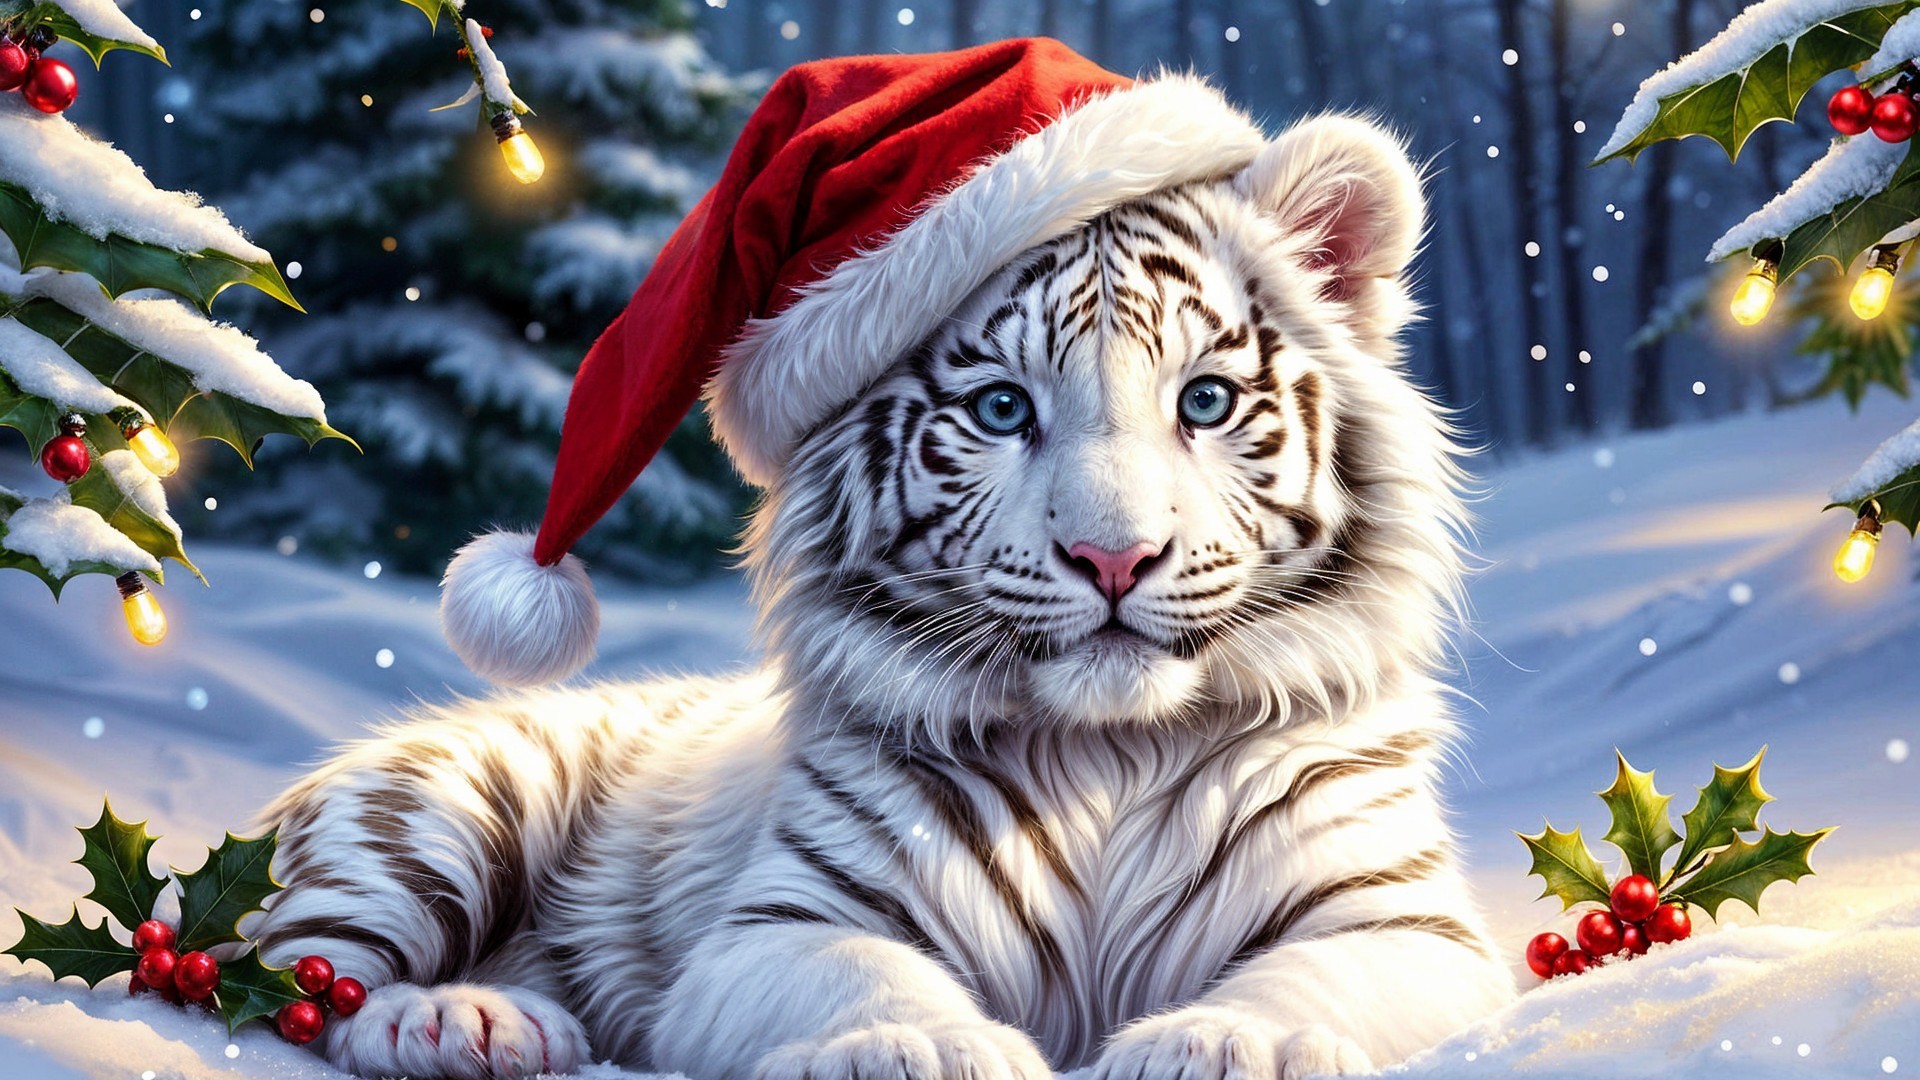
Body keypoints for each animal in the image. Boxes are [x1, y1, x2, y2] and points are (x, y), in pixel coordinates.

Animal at [250, 114, 1515, 1080]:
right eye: (1002, 410)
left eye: (1204, 401)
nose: (1113, 559)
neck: (1107, 751)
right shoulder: (787, 924)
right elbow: (866, 977)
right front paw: (928, 1051)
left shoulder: (1401, 917)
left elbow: (1314, 976)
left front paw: (1223, 1045)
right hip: (431, 816)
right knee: (284, 975)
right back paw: (454, 1020)